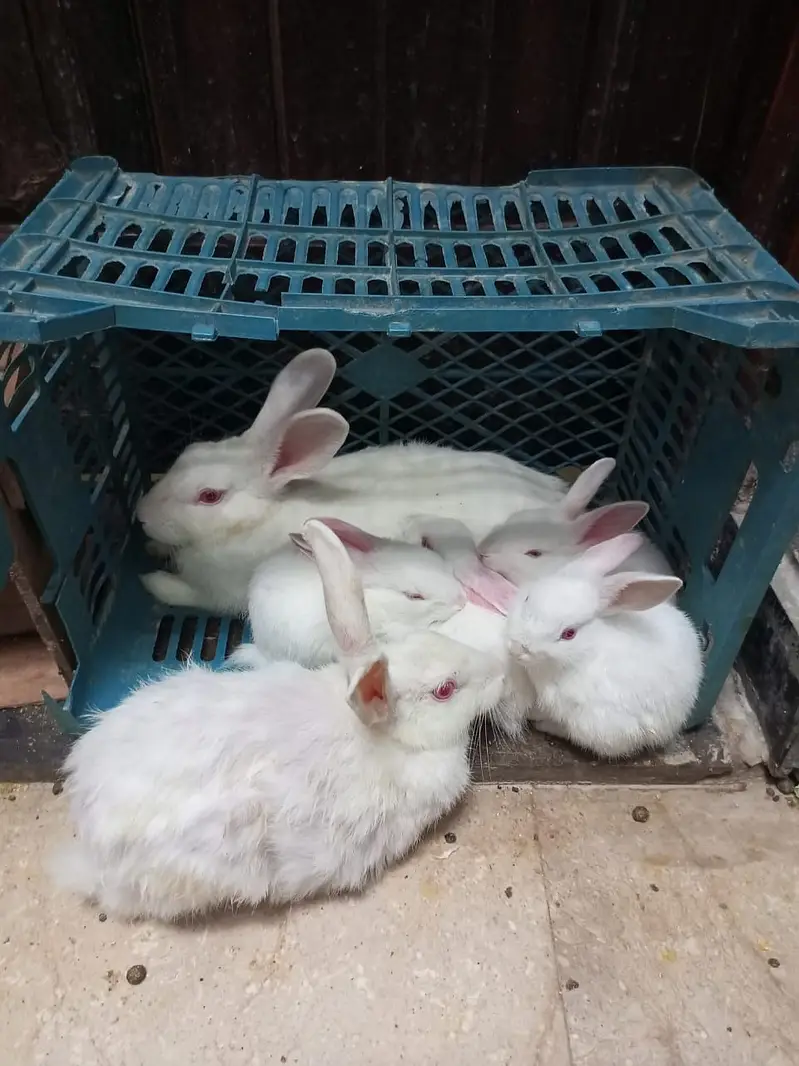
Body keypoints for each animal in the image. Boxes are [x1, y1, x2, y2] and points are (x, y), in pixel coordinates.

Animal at [136, 346, 569, 612]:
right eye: (188, 452)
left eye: (209, 496)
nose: (140, 515)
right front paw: (153, 548)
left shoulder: (218, 593)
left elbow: (186, 594)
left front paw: (152, 581)